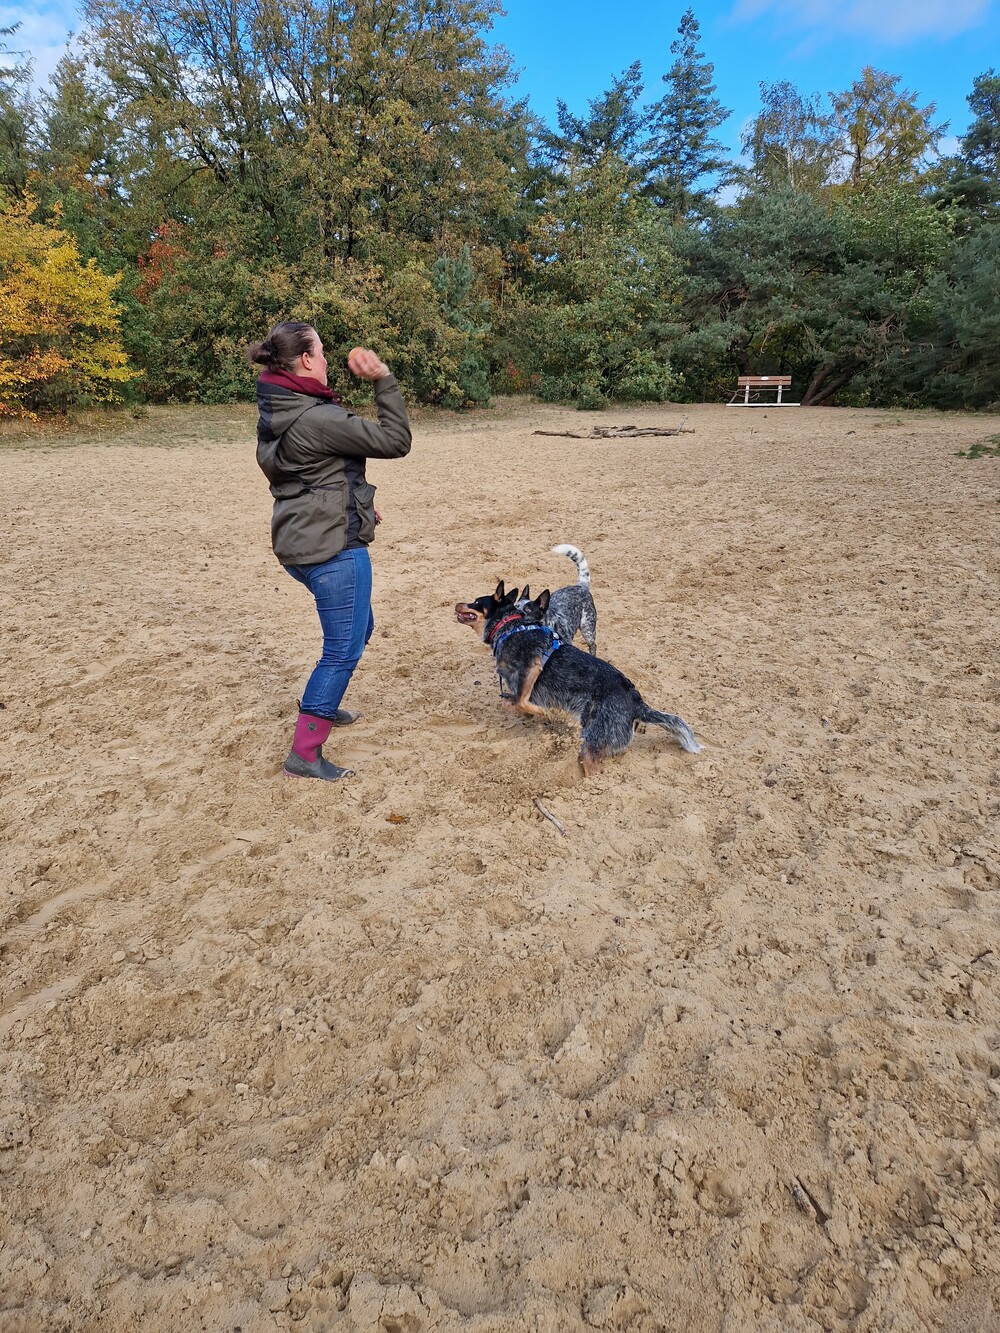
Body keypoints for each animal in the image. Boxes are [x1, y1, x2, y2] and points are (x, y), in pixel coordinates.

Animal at [454, 581, 701, 776]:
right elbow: (516, 704)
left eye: (475, 602)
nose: (456, 603)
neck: (509, 627)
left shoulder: (531, 669)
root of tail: (636, 702)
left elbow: (517, 702)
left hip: (591, 742)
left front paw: (548, 714)